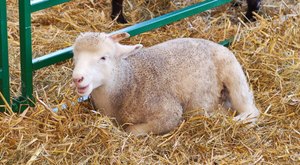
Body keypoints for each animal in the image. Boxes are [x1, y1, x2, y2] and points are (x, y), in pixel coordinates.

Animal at [71, 31, 258, 135]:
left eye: (103, 57)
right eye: (75, 56)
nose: (77, 78)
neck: (127, 83)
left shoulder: (169, 112)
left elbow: (131, 130)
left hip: (232, 70)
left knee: (250, 111)